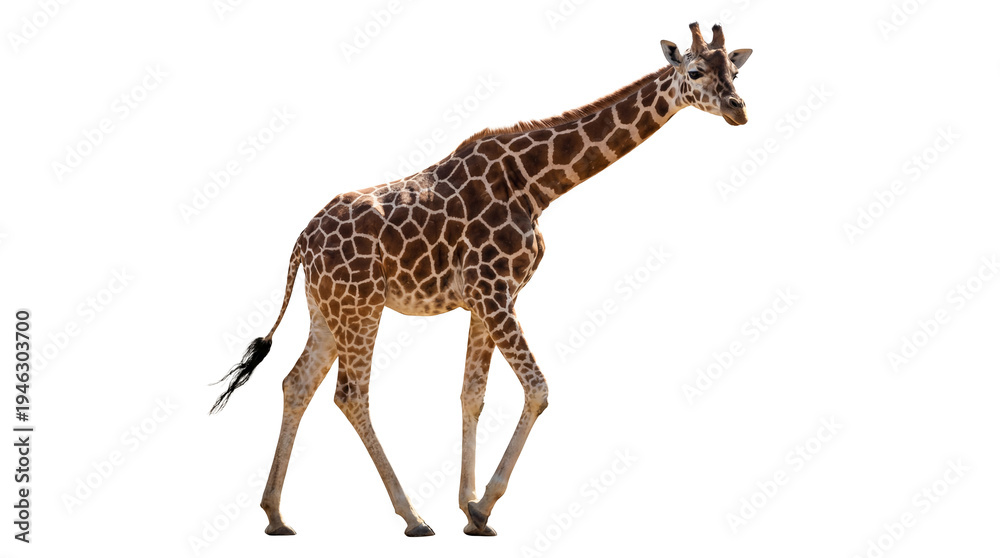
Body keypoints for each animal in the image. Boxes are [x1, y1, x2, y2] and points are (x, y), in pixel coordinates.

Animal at [211, 22, 752, 537]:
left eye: (735, 71)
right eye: (696, 72)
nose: (739, 109)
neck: (536, 184)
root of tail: (302, 240)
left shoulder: (485, 298)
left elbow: (472, 395)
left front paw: (470, 510)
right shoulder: (494, 291)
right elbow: (538, 389)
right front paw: (484, 504)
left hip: (327, 308)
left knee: (296, 383)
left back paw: (276, 515)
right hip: (361, 305)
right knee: (349, 394)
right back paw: (412, 516)